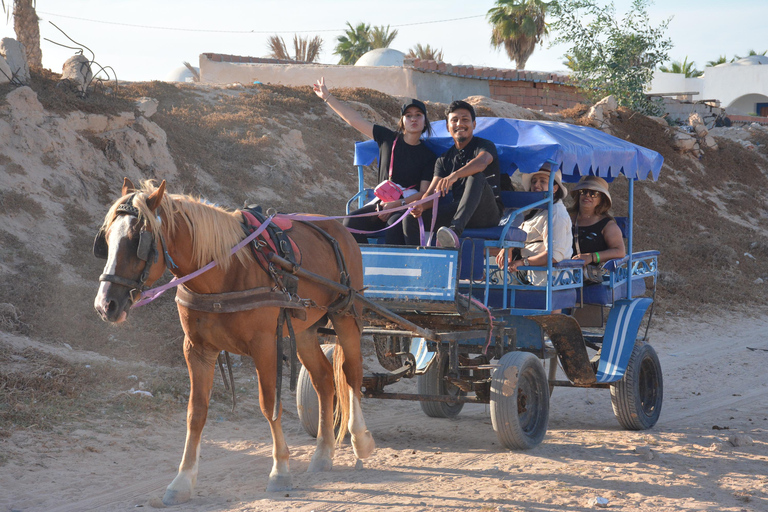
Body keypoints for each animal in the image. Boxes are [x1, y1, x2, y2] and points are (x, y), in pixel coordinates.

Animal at [93, 178, 376, 506]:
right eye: (106, 239)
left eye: (138, 240)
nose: (105, 305)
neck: (223, 272)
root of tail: (339, 228)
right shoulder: (197, 350)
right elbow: (196, 412)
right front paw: (182, 480)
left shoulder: (264, 346)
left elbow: (269, 405)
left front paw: (280, 470)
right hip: (304, 330)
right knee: (324, 380)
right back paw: (323, 453)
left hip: (346, 314)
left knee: (351, 373)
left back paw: (360, 439)